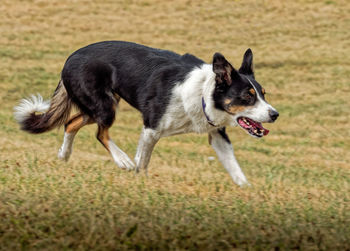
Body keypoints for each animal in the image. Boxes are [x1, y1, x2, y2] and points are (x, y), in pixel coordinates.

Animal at [14, 40, 278, 186]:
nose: (275, 114)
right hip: (105, 106)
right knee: (100, 133)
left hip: (96, 107)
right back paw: (122, 160)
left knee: (70, 123)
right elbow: (143, 162)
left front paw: (247, 190)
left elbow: (234, 166)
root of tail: (70, 57)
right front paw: (139, 181)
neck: (203, 92)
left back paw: (64, 155)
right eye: (248, 97)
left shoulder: (216, 134)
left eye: (263, 94)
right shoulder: (151, 128)